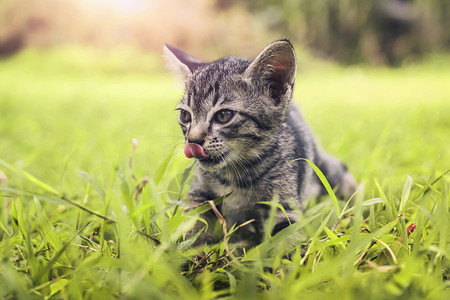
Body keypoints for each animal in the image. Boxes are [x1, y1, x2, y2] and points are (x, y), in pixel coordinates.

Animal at [163, 39, 356, 246]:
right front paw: (186, 248)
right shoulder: (199, 192)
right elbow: (192, 222)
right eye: (185, 116)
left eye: (224, 115)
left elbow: (286, 240)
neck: (234, 175)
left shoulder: (283, 204)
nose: (193, 140)